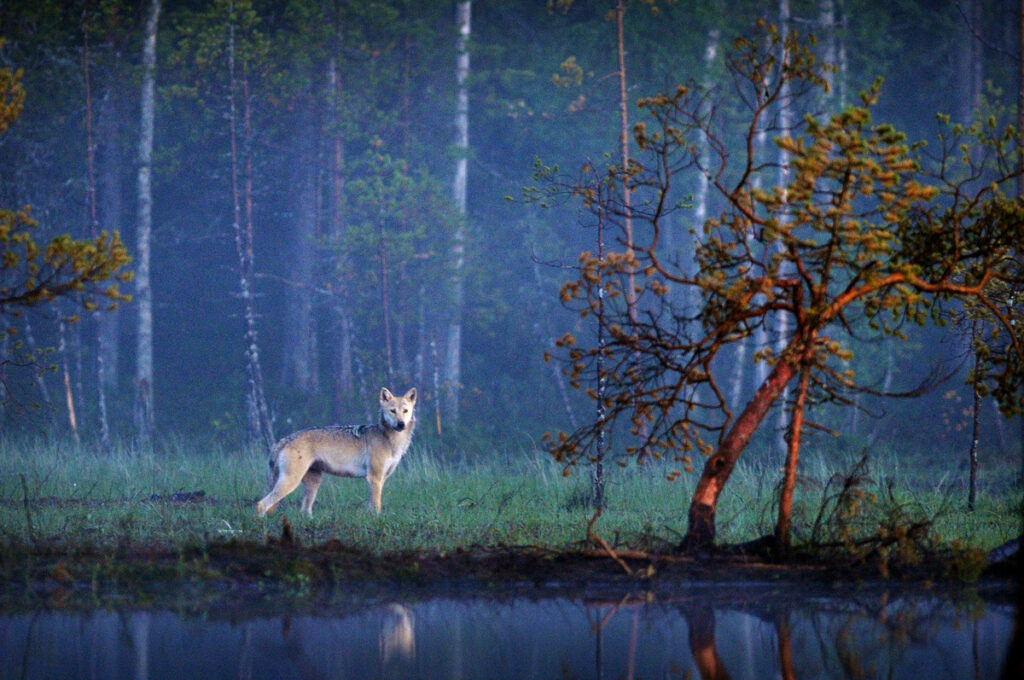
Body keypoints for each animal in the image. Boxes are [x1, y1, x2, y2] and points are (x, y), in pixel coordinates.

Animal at [256, 387, 415, 516]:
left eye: (405, 411)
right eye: (392, 411)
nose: (401, 424)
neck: (390, 439)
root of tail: (284, 439)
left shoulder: (381, 479)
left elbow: (371, 505)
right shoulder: (374, 478)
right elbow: (376, 506)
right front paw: (376, 521)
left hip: (313, 484)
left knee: (303, 511)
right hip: (291, 482)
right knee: (261, 504)